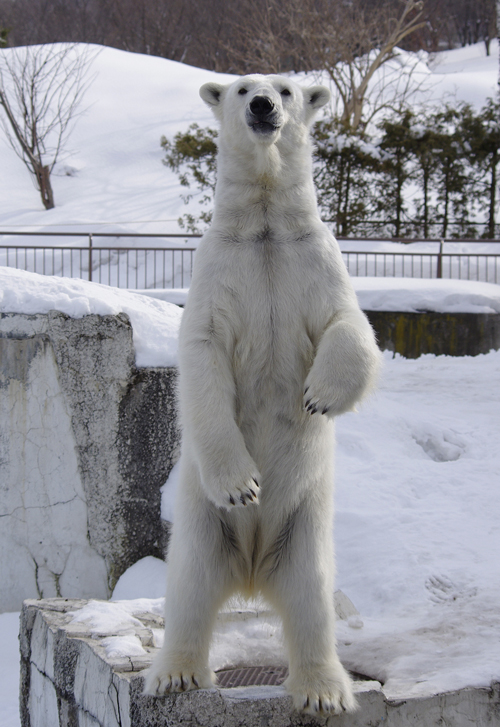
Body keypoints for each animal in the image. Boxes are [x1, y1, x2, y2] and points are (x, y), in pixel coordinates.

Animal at [144, 75, 378, 716]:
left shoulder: (315, 259)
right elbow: (202, 355)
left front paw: (319, 396)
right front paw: (243, 483)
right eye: (242, 87)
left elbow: (350, 323)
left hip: (305, 525)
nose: (263, 106)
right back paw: (176, 674)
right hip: (201, 523)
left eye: (289, 89)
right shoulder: (219, 269)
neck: (266, 227)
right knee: (191, 588)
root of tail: (251, 573)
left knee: (310, 599)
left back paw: (323, 690)